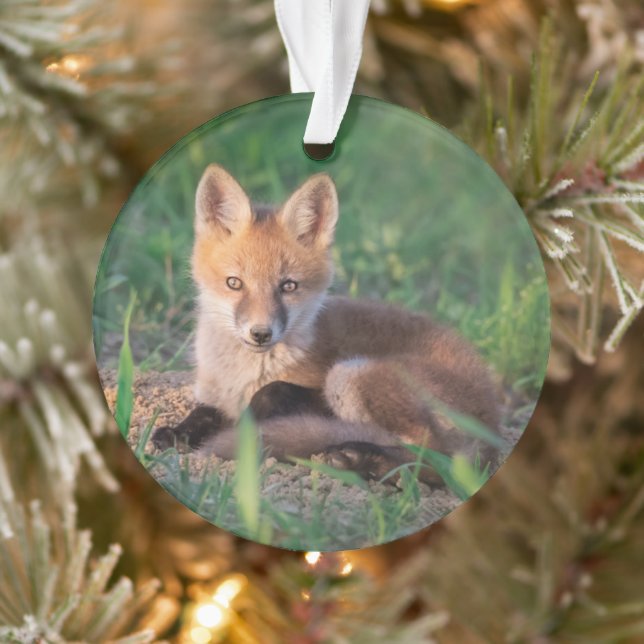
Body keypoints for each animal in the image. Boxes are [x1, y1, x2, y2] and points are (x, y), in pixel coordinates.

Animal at [152, 164, 503, 484]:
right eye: (234, 283)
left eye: (288, 286)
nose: (261, 333)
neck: (242, 375)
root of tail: (494, 425)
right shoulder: (214, 396)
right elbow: (203, 412)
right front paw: (178, 433)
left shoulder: (313, 391)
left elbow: (271, 392)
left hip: (350, 373)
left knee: (437, 460)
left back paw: (365, 459)